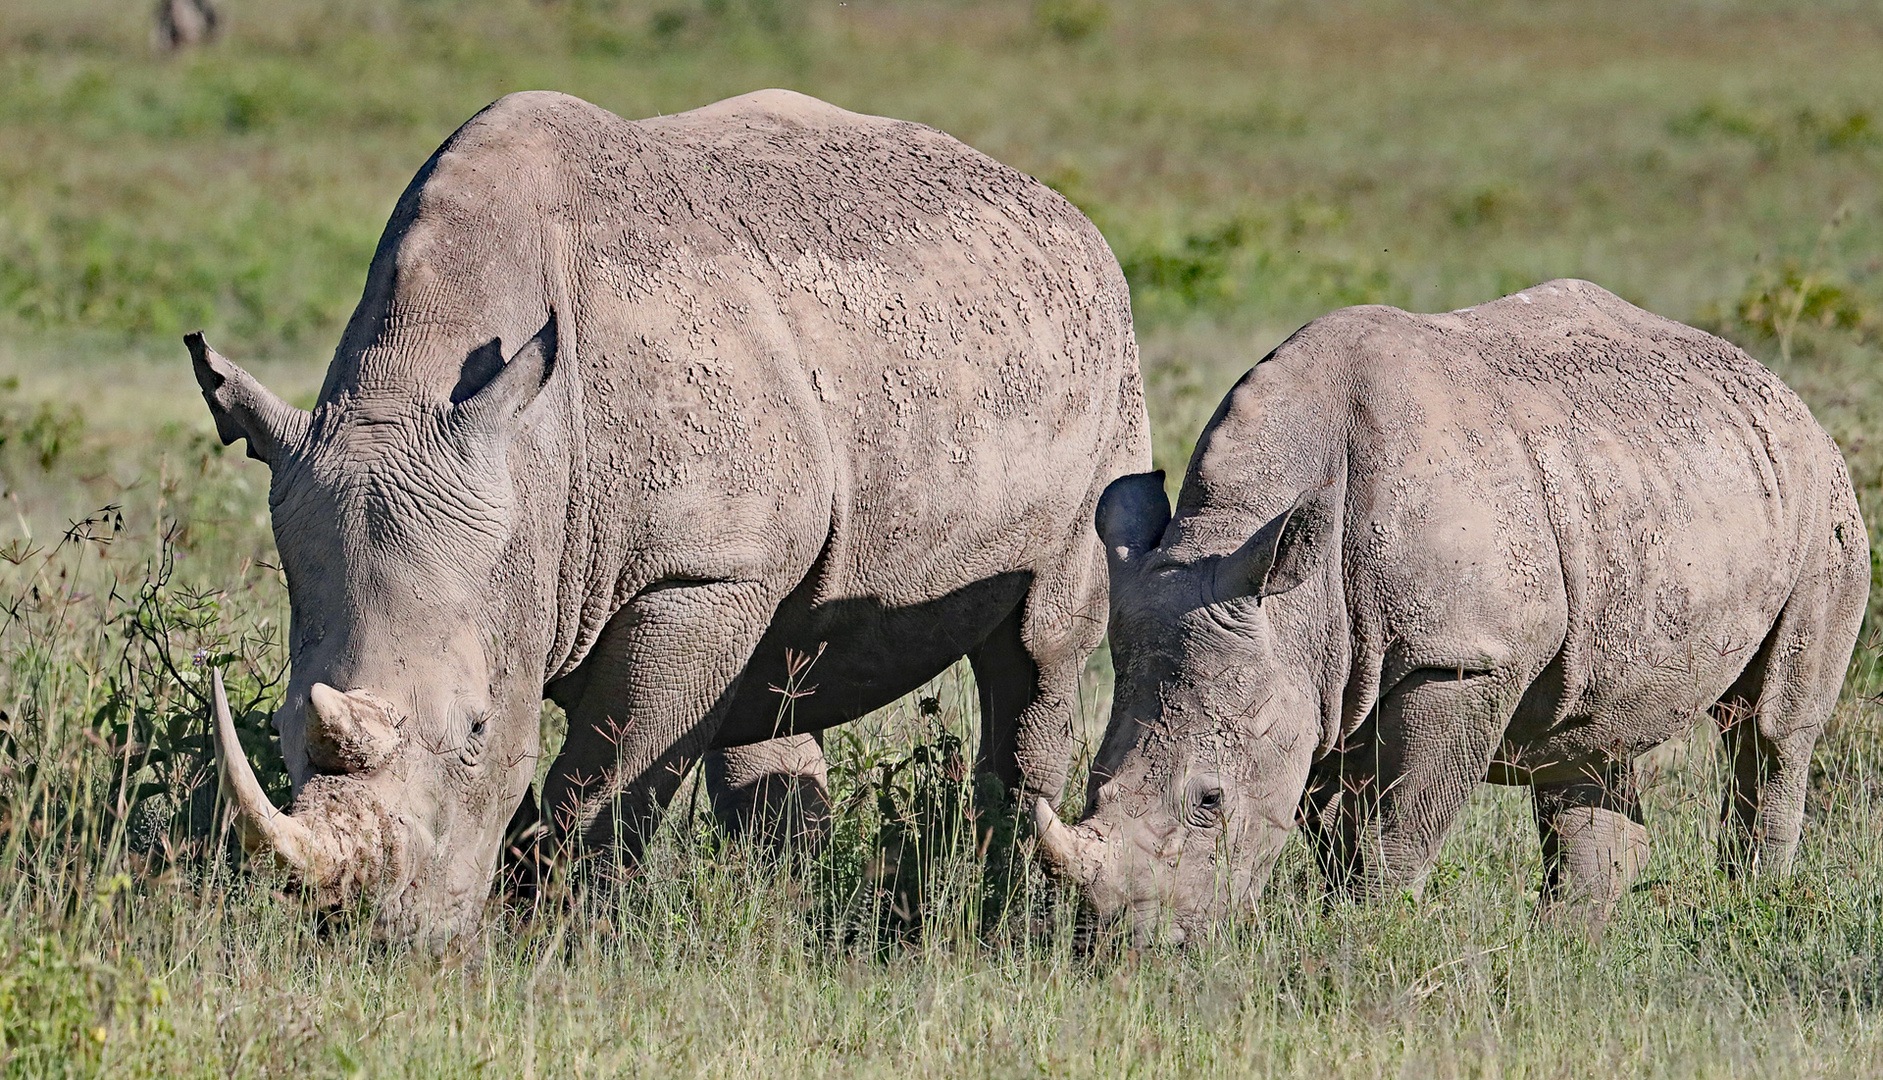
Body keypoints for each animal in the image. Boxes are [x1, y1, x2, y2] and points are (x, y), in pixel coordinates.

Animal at [198, 88, 1152, 952]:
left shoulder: (698, 570)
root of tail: (1057, 207)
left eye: (472, 729)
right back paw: (785, 905)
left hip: (1106, 362)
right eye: (280, 728)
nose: (366, 935)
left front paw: (563, 935)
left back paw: (1004, 901)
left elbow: (605, 772)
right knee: (786, 661)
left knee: (1039, 646)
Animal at [1039, 278, 1875, 948]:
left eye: (1208, 802)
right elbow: (1336, 829)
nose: (1123, 947)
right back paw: (1564, 948)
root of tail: (1774, 385)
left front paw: (1366, 935)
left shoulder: (1462, 659)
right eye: (1093, 782)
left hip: (1819, 499)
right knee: (1586, 738)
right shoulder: (1314, 677)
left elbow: (1398, 825)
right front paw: (1346, 922)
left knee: (1769, 726)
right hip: (1651, 485)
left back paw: (1748, 907)